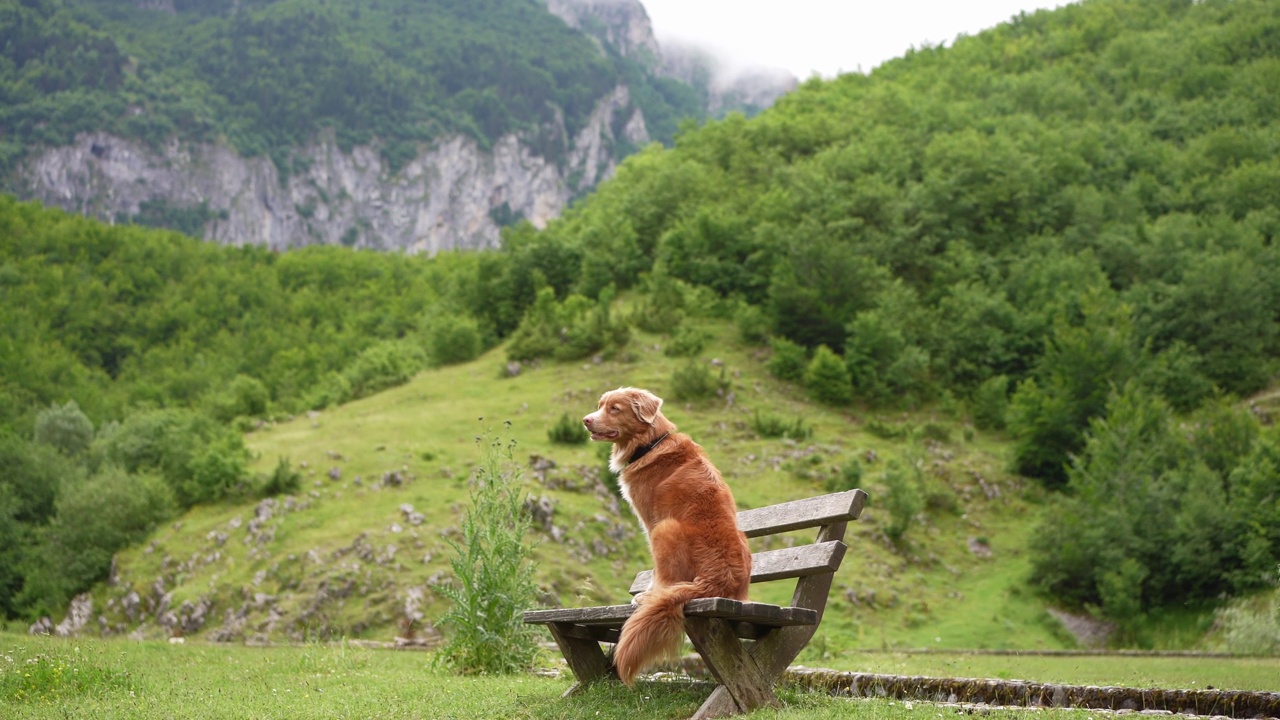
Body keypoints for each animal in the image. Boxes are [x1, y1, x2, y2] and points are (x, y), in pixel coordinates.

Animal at [581, 386, 747, 681]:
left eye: (615, 409)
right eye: (600, 405)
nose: (586, 420)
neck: (650, 443)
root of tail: (718, 580)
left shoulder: (650, 521)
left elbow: (656, 572)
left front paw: (646, 593)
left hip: (665, 528)